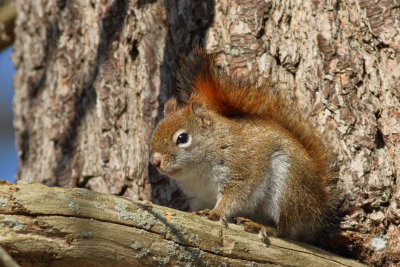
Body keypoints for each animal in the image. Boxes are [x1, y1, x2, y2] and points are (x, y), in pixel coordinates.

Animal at [150, 47, 338, 243]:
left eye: (182, 138)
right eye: (154, 133)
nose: (155, 161)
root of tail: (316, 207)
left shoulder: (240, 171)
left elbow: (233, 198)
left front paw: (215, 213)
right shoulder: (197, 196)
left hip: (289, 187)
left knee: (285, 228)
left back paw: (261, 226)